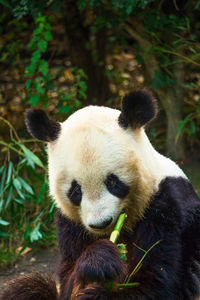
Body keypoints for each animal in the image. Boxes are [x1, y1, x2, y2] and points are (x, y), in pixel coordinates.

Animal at [1, 89, 200, 300]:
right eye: (75, 190)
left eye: (112, 182)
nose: (101, 223)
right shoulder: (69, 223)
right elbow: (67, 281)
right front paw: (99, 260)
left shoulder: (164, 205)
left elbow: (157, 281)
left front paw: (98, 290)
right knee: (27, 287)